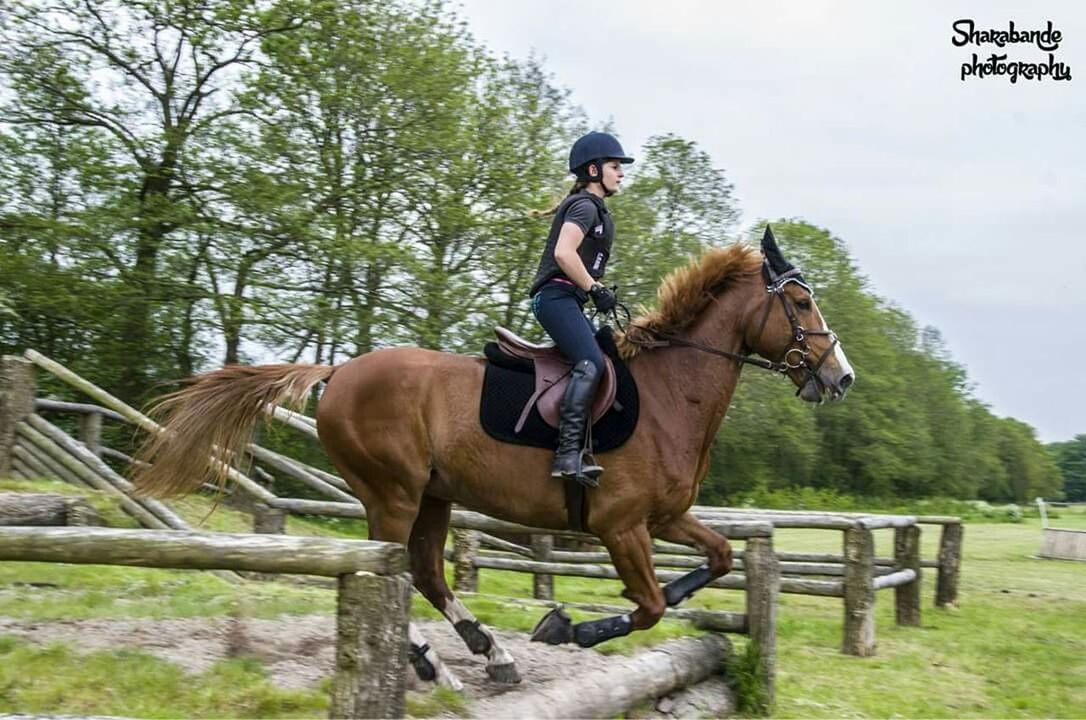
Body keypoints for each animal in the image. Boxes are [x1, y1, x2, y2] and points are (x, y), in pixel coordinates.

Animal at [131, 229, 851, 686]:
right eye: (802, 301)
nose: (840, 379)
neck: (672, 392)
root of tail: (339, 372)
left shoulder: (667, 518)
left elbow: (716, 562)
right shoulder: (620, 526)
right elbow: (648, 606)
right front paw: (565, 628)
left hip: (432, 496)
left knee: (425, 572)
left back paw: (485, 653)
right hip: (392, 492)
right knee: (384, 570)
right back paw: (434, 662)